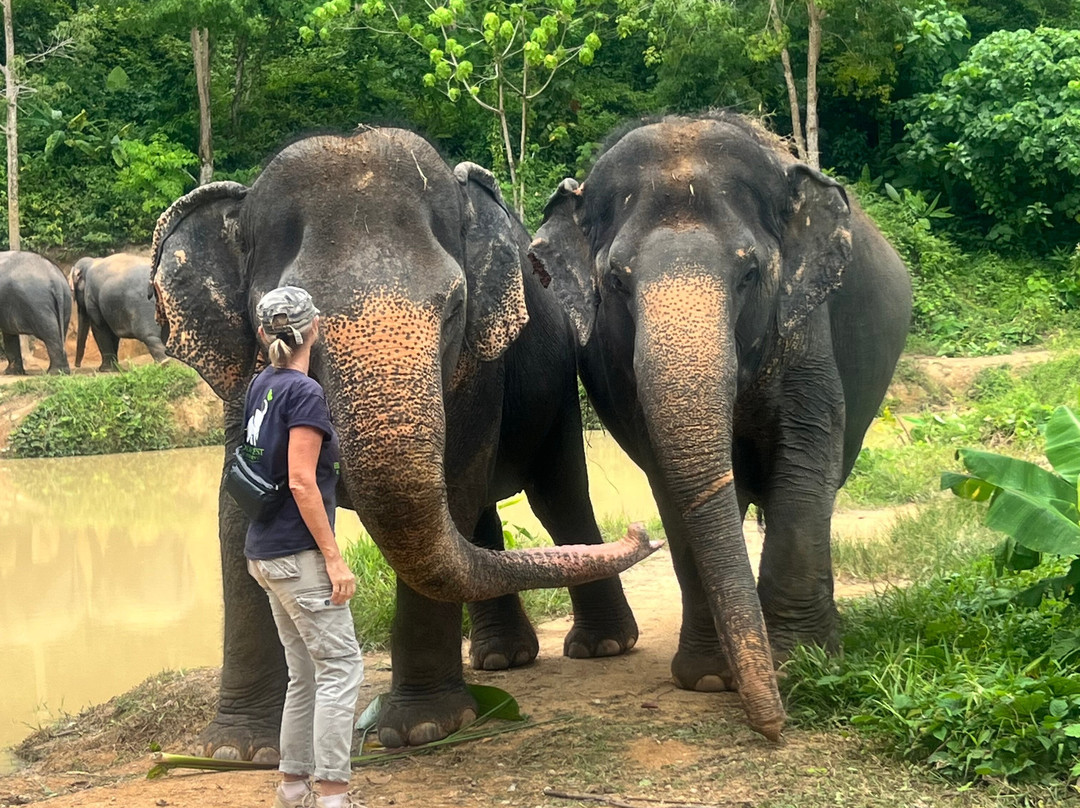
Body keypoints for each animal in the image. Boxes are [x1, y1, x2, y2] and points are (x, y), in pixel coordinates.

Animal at [149, 128, 658, 756]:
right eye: (277, 326)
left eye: (455, 308)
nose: (641, 531)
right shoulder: (237, 376)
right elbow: (237, 508)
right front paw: (234, 749)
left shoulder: (477, 370)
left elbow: (455, 480)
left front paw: (420, 729)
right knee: (482, 519)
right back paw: (500, 659)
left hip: (559, 386)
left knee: (555, 496)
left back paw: (599, 647)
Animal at [528, 112, 912, 740]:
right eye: (617, 282)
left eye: (750, 272)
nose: (775, 730)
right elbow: (668, 479)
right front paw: (710, 679)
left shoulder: (804, 323)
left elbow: (806, 449)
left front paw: (800, 664)